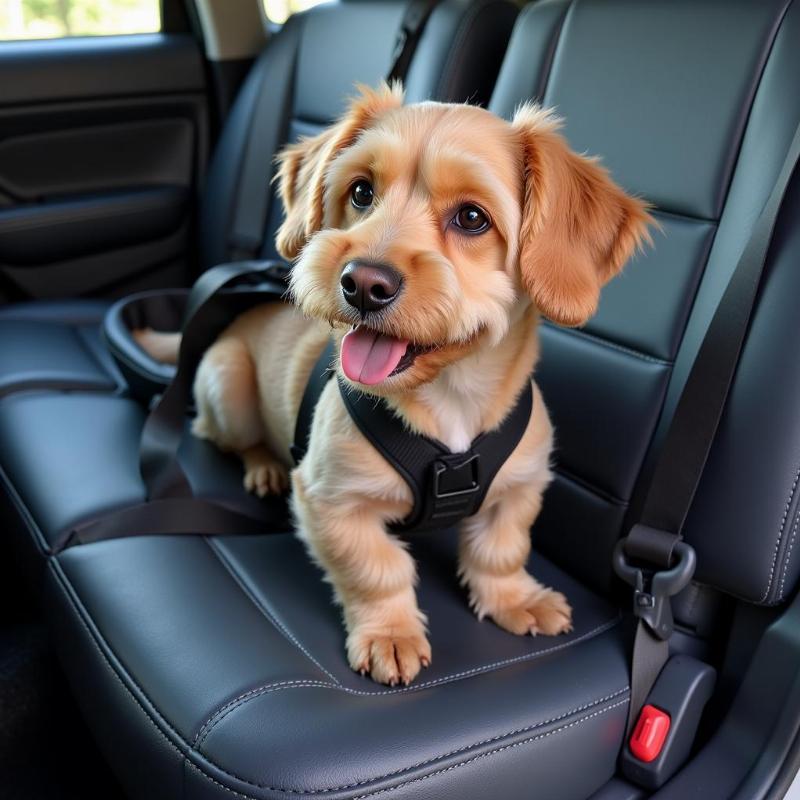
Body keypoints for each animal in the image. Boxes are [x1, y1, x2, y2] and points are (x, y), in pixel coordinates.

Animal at [136, 84, 648, 684]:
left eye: (472, 218)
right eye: (361, 191)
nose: (361, 282)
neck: (450, 399)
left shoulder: (520, 488)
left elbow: (500, 551)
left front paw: (514, 598)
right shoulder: (332, 502)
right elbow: (376, 570)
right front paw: (390, 633)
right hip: (227, 386)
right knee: (231, 438)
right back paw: (264, 465)